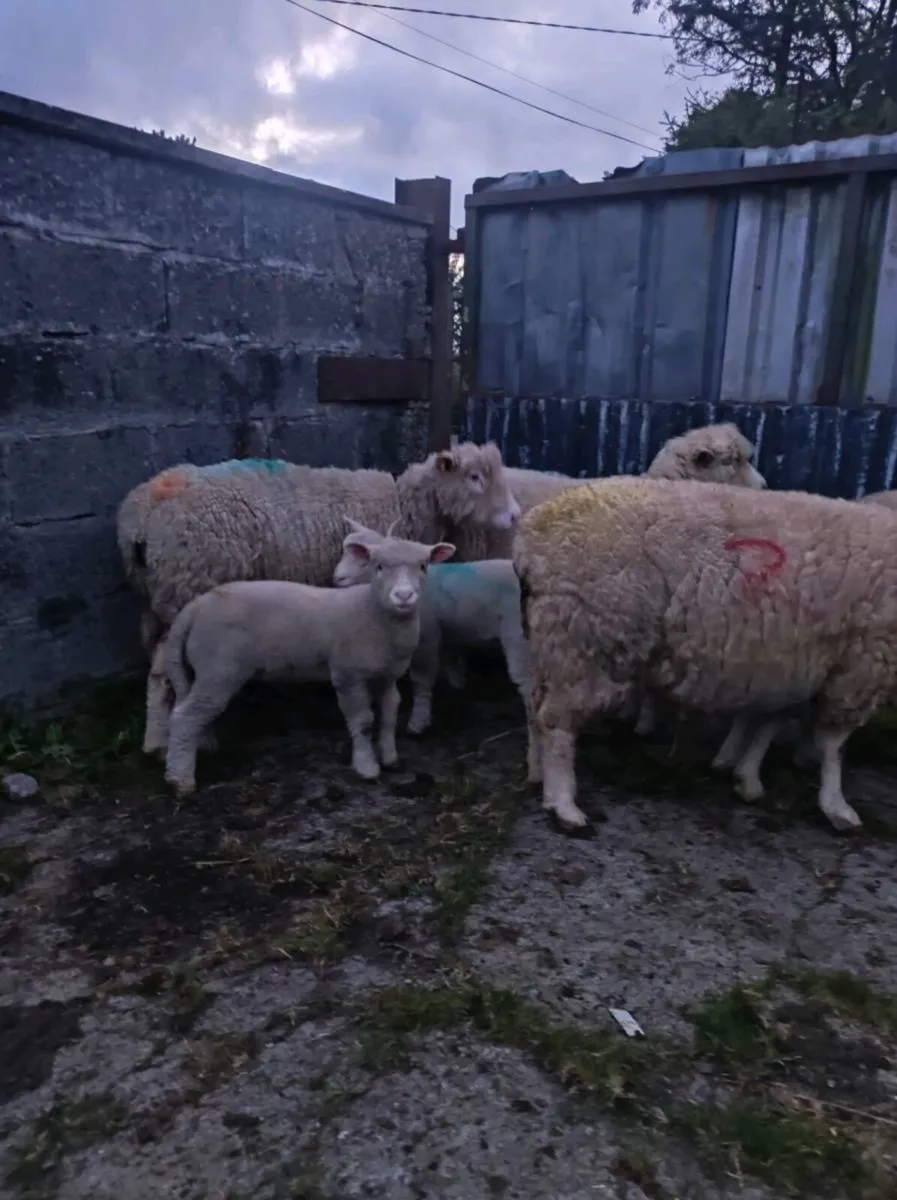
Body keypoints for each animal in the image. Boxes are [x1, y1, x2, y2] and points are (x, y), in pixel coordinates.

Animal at [116, 444, 521, 757]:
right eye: (474, 477)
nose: (516, 515)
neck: (405, 505)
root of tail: (140, 518)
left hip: (156, 600)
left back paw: (158, 740)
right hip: (186, 587)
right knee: (164, 671)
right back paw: (175, 741)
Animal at [162, 531, 456, 796]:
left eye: (423, 565)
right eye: (379, 566)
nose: (403, 596)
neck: (371, 610)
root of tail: (196, 607)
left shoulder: (387, 675)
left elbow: (389, 714)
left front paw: (390, 758)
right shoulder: (348, 675)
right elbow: (362, 721)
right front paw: (367, 767)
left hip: (207, 670)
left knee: (193, 710)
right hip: (218, 668)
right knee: (185, 716)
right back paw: (181, 780)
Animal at [333, 518, 537, 777]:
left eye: (365, 560)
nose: (337, 579)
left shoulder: (426, 638)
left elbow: (422, 678)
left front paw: (419, 721)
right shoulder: (446, 632)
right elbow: (452, 659)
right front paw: (458, 683)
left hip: (517, 636)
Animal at [513, 476, 897, 837]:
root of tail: (532, 537)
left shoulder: (793, 663)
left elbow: (769, 723)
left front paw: (746, 776)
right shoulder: (864, 663)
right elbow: (835, 745)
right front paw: (837, 807)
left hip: (554, 641)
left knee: (536, 709)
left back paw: (541, 780)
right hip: (588, 643)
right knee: (558, 724)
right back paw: (565, 806)